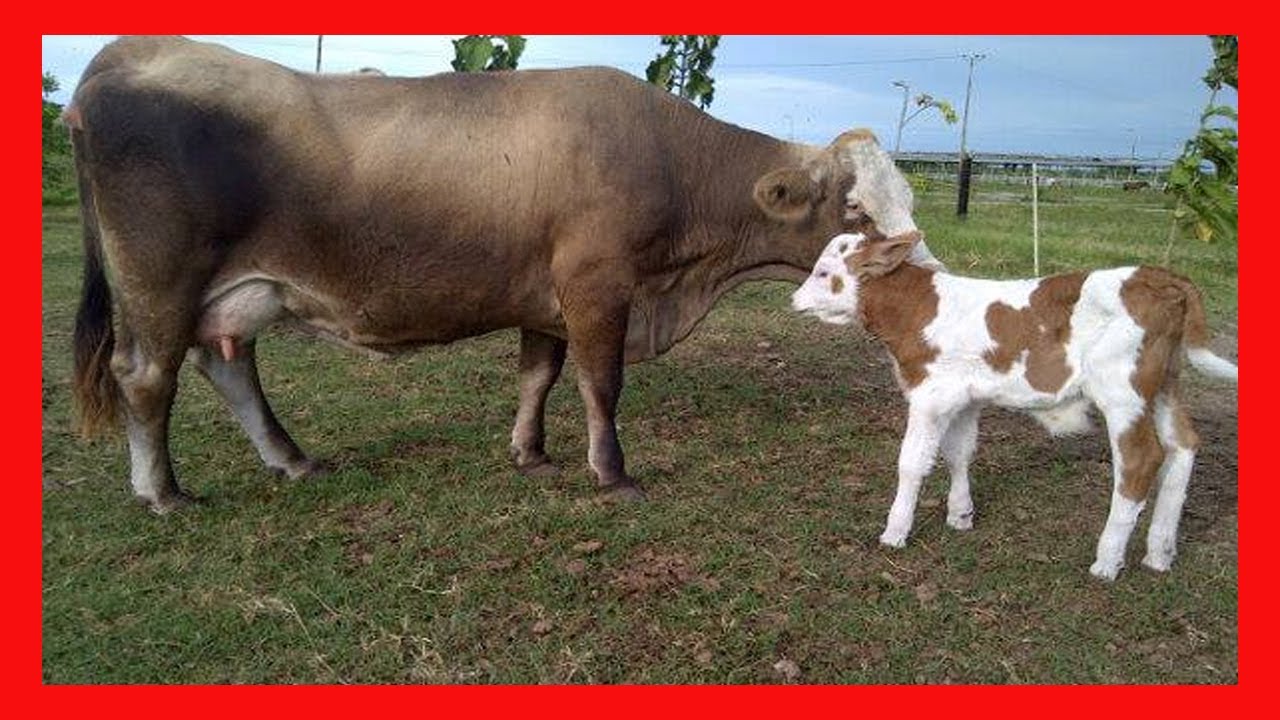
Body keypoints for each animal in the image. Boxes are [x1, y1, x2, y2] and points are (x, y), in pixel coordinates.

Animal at [66, 35, 938, 513]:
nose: (921, 270)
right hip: (160, 282)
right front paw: (611, 475)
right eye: (855, 210)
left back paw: (293, 459)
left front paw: (531, 453)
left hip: (233, 292)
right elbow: (599, 383)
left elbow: (536, 377)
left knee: (228, 366)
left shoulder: (544, 298)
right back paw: (163, 493)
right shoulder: (597, 287)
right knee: (146, 377)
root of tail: (125, 57)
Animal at [791, 231, 1238, 580]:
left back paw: (1107, 560)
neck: (917, 309)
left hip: (1122, 393)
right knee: (1184, 445)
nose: (794, 300)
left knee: (1142, 459)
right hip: (1164, 385)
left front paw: (895, 531)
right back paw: (1160, 552)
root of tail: (1159, 275)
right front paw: (960, 515)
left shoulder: (929, 395)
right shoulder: (964, 397)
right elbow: (959, 453)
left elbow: (912, 463)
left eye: (823, 273)